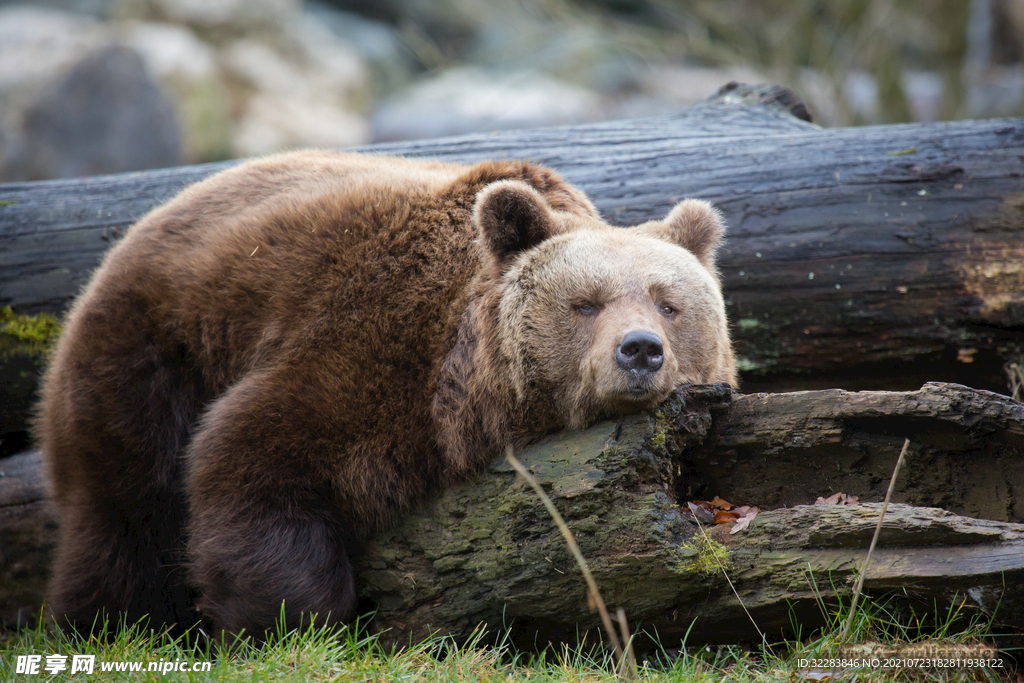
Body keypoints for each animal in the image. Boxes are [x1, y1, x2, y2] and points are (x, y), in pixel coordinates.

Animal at [36, 150, 736, 638]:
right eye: (586, 303)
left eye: (668, 304)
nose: (640, 350)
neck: (465, 386)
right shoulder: (367, 348)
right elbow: (252, 458)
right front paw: (289, 621)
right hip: (152, 352)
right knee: (126, 509)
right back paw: (106, 624)